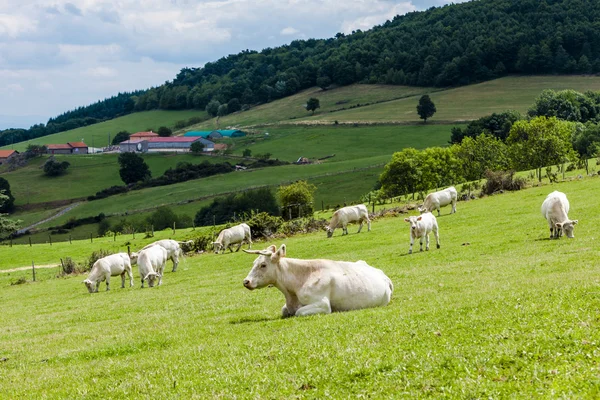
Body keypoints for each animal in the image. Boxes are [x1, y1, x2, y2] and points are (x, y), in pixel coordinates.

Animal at [241, 242, 392, 318]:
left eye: (263, 265)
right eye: (254, 262)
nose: (246, 281)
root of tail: (383, 275)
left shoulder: (323, 304)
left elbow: (299, 312)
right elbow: (284, 310)